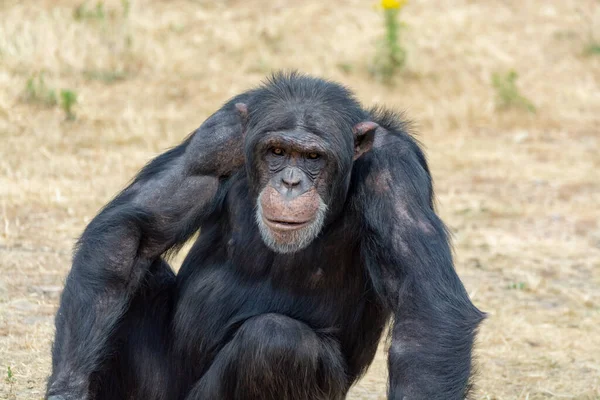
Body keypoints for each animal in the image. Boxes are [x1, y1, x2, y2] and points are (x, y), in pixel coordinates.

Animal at [48, 72, 488, 400]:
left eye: (313, 157)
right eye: (276, 151)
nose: (290, 182)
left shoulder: (394, 172)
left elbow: (425, 306)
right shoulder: (218, 136)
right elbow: (134, 231)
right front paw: (68, 390)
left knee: (277, 341)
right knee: (136, 269)